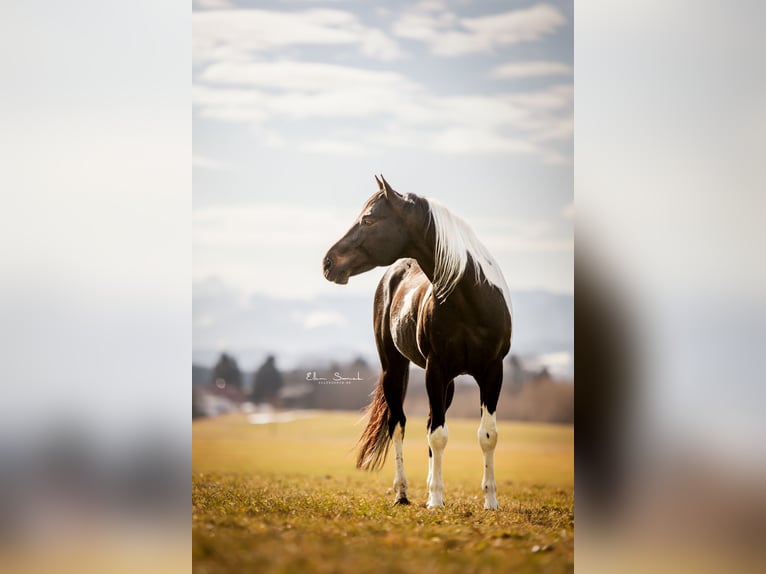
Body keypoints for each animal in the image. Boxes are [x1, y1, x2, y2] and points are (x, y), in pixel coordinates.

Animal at [322, 175, 512, 510]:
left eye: (368, 219)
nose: (328, 262)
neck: (470, 299)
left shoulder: (492, 371)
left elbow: (486, 435)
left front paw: (491, 501)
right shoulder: (435, 371)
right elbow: (437, 435)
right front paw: (435, 499)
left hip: (449, 382)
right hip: (394, 369)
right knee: (398, 424)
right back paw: (402, 493)